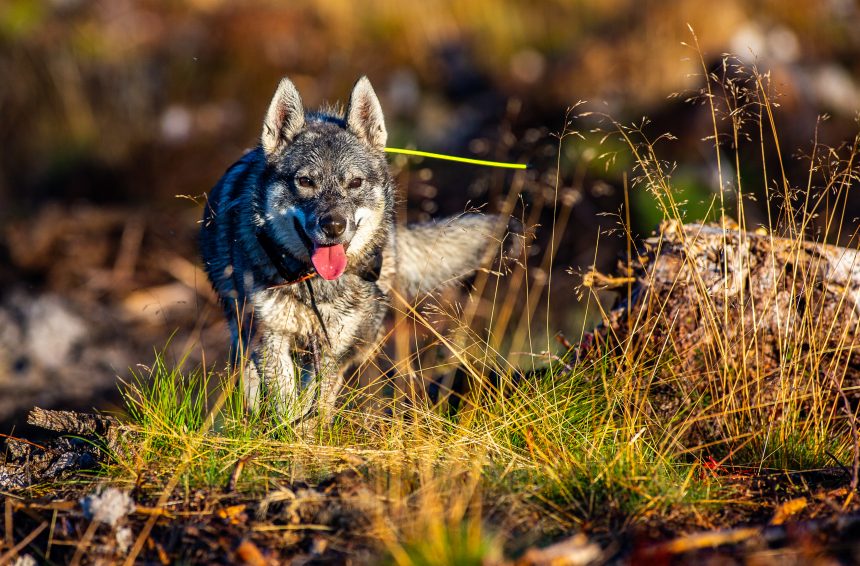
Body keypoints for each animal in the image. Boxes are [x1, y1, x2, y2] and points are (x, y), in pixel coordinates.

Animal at [200, 76, 510, 426]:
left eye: (355, 183)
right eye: (305, 181)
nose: (334, 225)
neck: (316, 286)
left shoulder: (331, 348)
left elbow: (313, 408)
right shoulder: (271, 341)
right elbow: (286, 403)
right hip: (244, 334)